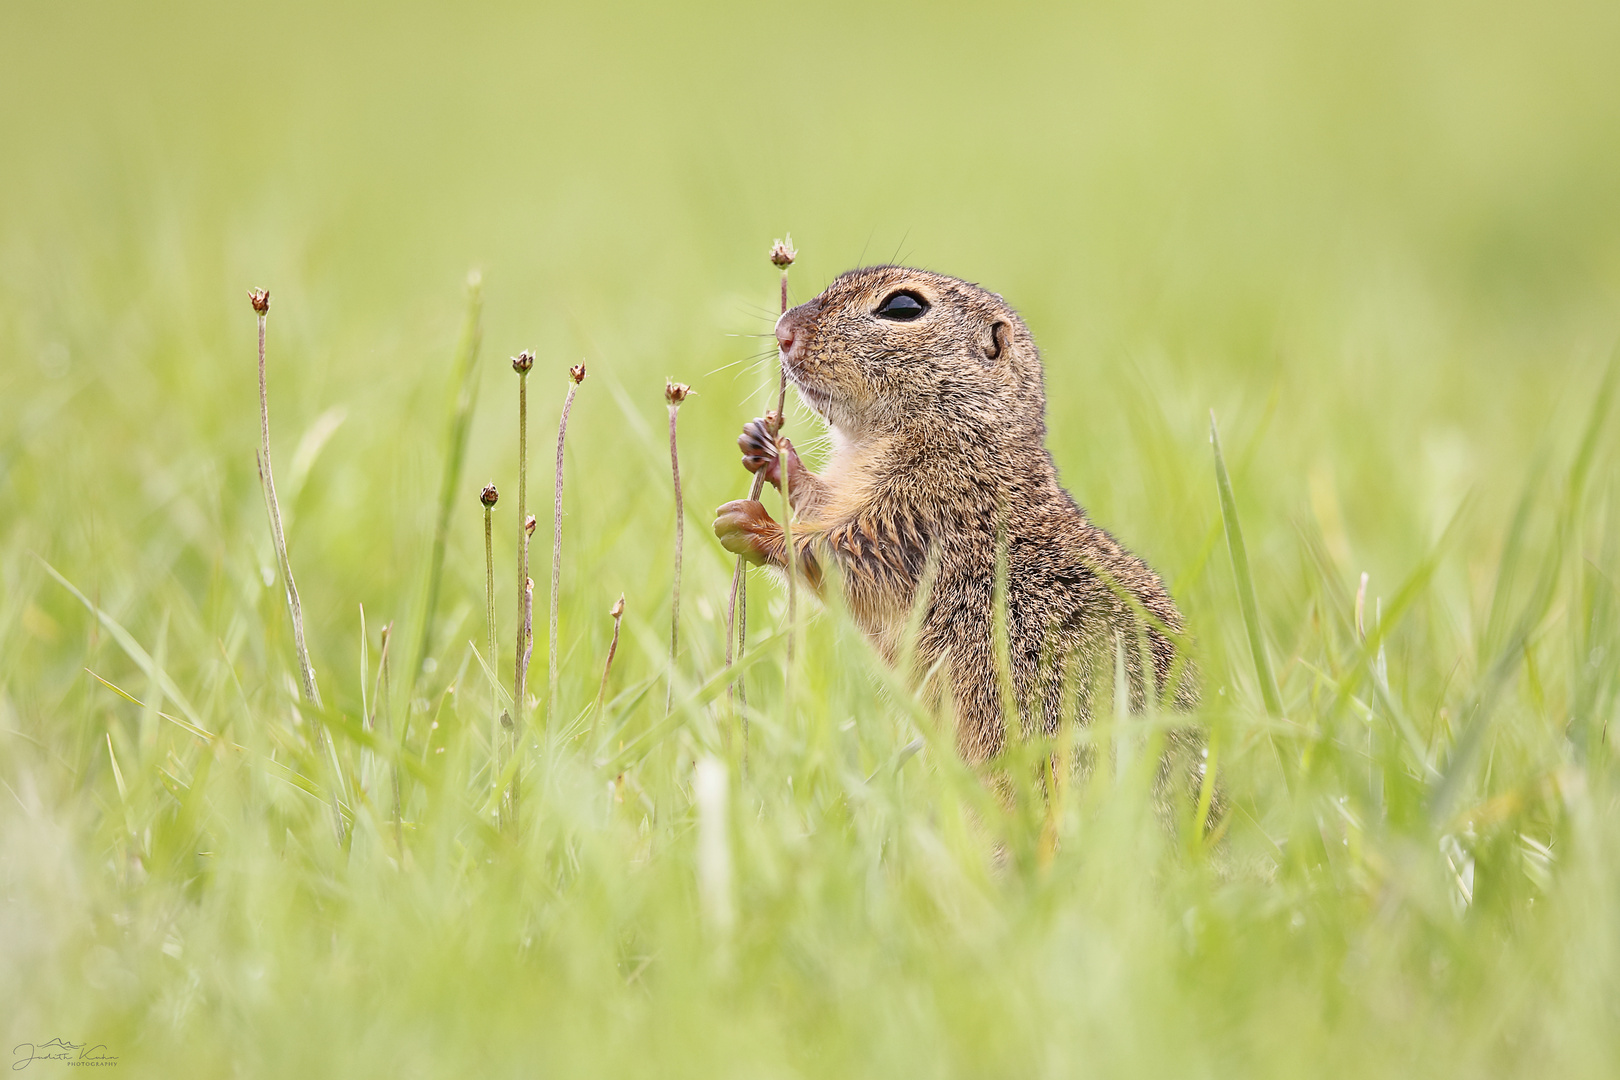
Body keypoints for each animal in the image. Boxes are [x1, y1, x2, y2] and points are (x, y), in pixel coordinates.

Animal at [716, 265, 1198, 764]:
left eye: (903, 307)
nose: (783, 332)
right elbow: (817, 502)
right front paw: (769, 449)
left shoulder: (927, 513)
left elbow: (838, 554)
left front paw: (756, 526)